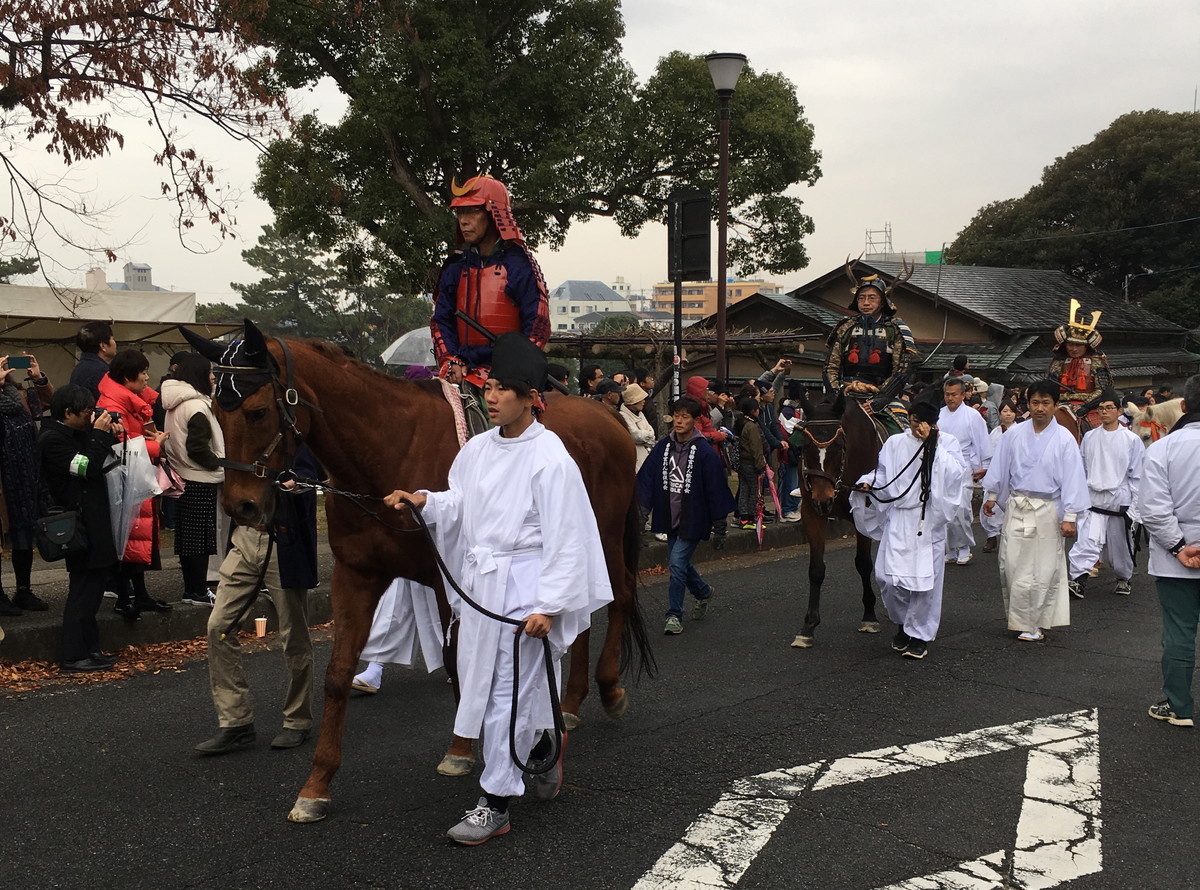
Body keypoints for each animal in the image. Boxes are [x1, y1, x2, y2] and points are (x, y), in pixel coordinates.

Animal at [178, 319, 652, 820]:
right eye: (215, 411)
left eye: (257, 412)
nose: (241, 506)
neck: (388, 452)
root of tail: (609, 417)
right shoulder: (357, 575)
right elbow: (337, 674)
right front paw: (316, 784)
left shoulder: (451, 579)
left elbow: (459, 662)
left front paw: (463, 750)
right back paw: (572, 701)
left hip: (598, 535)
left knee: (618, 596)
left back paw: (609, 690)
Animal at [792, 391, 888, 647]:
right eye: (805, 446)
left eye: (839, 446)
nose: (824, 500)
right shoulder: (811, 511)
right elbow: (816, 569)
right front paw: (808, 625)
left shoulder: (865, 511)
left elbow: (863, 563)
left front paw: (869, 616)